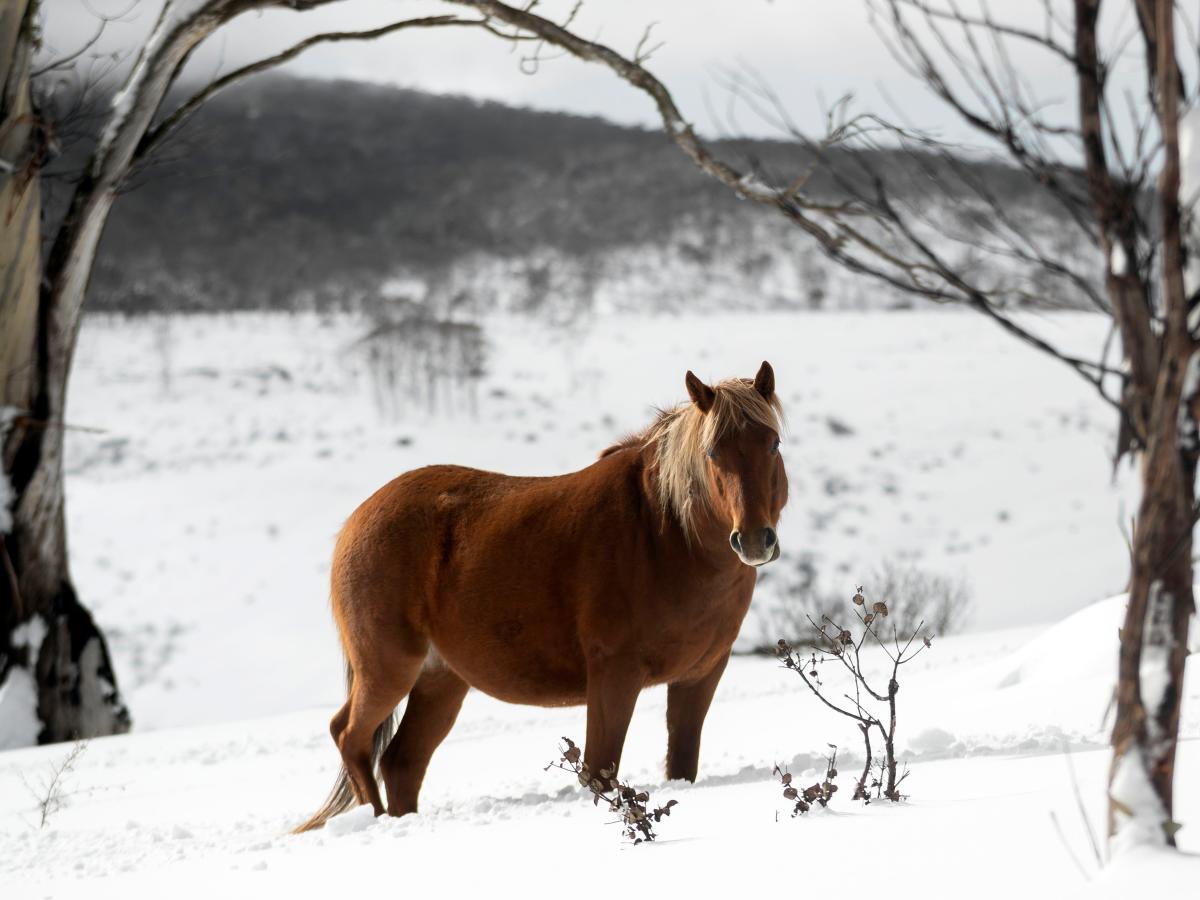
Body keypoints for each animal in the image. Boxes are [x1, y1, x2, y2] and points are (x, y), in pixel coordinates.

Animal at [295, 360, 787, 830]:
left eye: (773, 444)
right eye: (712, 452)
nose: (753, 540)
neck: (663, 534)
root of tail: (357, 520)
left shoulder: (700, 675)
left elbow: (680, 764)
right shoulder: (614, 675)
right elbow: (599, 770)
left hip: (440, 681)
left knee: (402, 762)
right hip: (388, 668)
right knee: (350, 736)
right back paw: (372, 818)